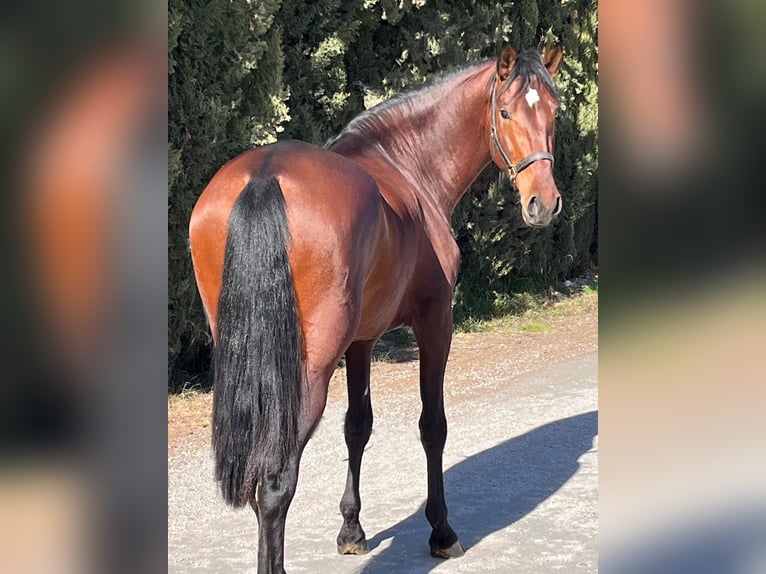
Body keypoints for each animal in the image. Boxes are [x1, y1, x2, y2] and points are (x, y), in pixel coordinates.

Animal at [190, 46, 564, 574]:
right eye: (506, 112)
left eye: (555, 112)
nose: (543, 203)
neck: (409, 166)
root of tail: (265, 175)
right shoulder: (435, 322)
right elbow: (433, 426)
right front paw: (442, 531)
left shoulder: (362, 341)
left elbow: (357, 427)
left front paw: (351, 530)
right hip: (308, 373)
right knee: (276, 483)